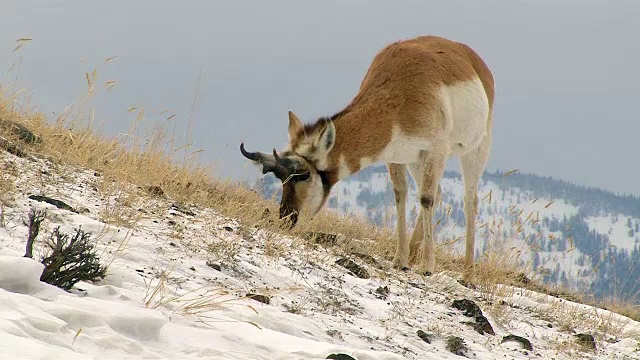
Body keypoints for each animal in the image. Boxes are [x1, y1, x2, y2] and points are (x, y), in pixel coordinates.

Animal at [240, 35, 496, 278]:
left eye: (303, 175)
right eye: (281, 180)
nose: (286, 220)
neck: (400, 96)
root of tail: (472, 58)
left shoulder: (436, 150)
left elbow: (425, 199)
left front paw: (427, 267)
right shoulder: (396, 157)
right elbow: (400, 195)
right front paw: (400, 260)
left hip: (475, 150)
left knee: (469, 201)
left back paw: (468, 273)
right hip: (417, 161)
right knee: (439, 192)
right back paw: (414, 254)